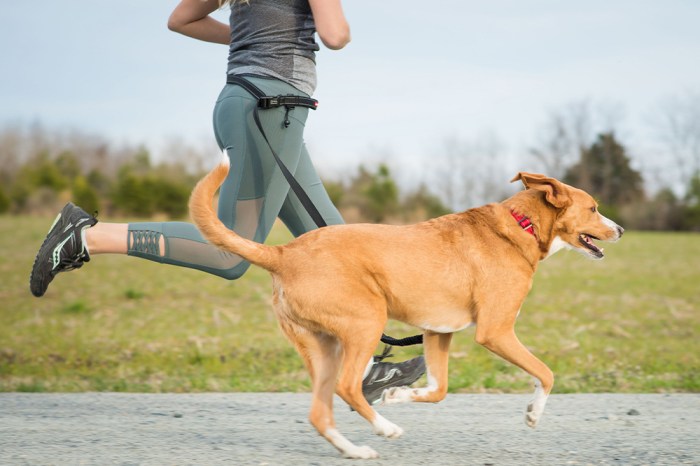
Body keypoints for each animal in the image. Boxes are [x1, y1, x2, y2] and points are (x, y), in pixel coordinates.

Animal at [187, 155, 624, 460]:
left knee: (320, 412)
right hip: (365, 323)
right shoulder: (496, 331)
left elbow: (440, 390)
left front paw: (399, 396)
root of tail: (281, 253)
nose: (620, 230)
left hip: (323, 347)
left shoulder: (438, 332)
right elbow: (545, 374)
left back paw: (356, 450)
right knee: (347, 388)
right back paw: (384, 429)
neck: (520, 225)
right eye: (593, 208)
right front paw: (533, 412)